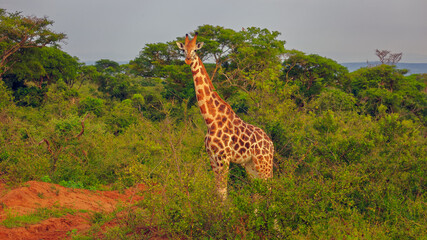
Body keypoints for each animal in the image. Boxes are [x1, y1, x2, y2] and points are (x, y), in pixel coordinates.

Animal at [176, 32, 274, 200]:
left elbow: (223, 193)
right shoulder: (212, 158)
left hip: (264, 163)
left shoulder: (224, 157)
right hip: (251, 165)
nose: (188, 59)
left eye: (195, 50)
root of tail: (272, 145)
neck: (210, 119)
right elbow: (217, 191)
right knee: (257, 192)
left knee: (269, 190)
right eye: (183, 50)